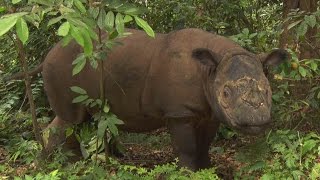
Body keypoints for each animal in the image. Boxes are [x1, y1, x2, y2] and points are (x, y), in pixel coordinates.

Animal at [40, 28, 288, 170]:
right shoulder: (179, 112)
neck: (210, 69)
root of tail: (49, 52)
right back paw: (68, 166)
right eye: (225, 93)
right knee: (70, 119)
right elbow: (187, 147)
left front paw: (207, 170)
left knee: (77, 120)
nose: (256, 119)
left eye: (268, 90)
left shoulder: (209, 111)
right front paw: (188, 172)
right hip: (63, 65)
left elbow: (204, 145)